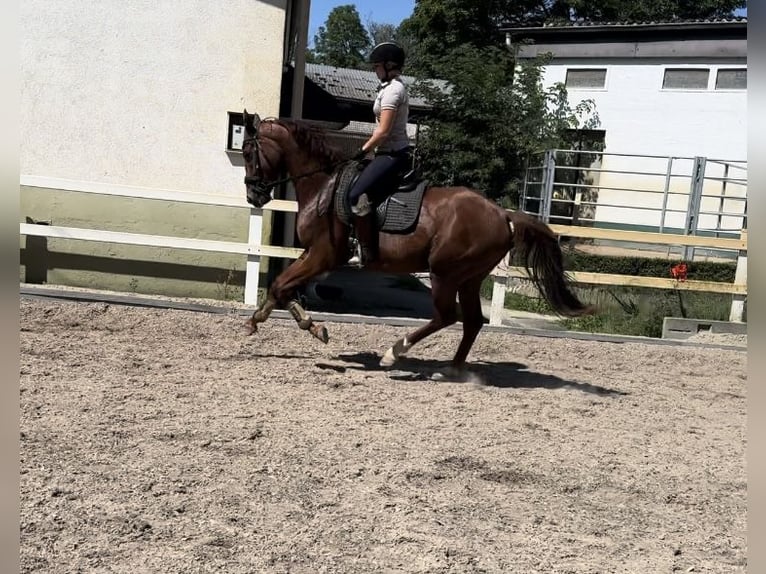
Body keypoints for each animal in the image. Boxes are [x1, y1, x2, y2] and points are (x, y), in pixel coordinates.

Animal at [243, 111, 592, 378]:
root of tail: (503, 213)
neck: (322, 187)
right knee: (473, 321)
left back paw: (394, 353)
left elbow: (280, 285)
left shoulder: (324, 255)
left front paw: (301, 325)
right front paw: (273, 321)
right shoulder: (311, 254)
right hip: (469, 277)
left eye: (247, 153)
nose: (253, 196)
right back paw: (451, 369)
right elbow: (281, 285)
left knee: (447, 316)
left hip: (444, 273)